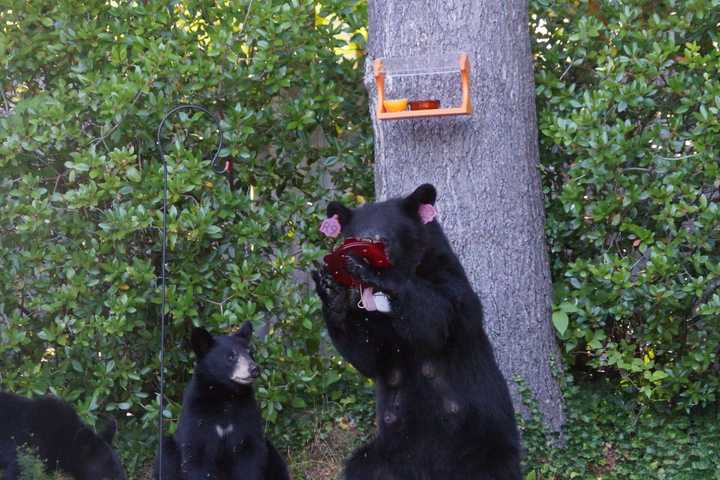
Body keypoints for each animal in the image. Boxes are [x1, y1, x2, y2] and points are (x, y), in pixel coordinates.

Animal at [153, 320, 288, 480]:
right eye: (230, 357)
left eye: (250, 353)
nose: (255, 369)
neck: (225, 395)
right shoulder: (197, 419)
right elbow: (197, 458)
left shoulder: (247, 418)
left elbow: (250, 458)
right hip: (169, 449)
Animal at [312, 184, 520, 480]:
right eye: (353, 236)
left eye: (384, 237)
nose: (363, 249)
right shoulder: (372, 322)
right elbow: (369, 354)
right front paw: (333, 292)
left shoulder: (449, 282)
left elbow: (436, 318)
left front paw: (375, 271)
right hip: (391, 452)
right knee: (364, 466)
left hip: (480, 444)